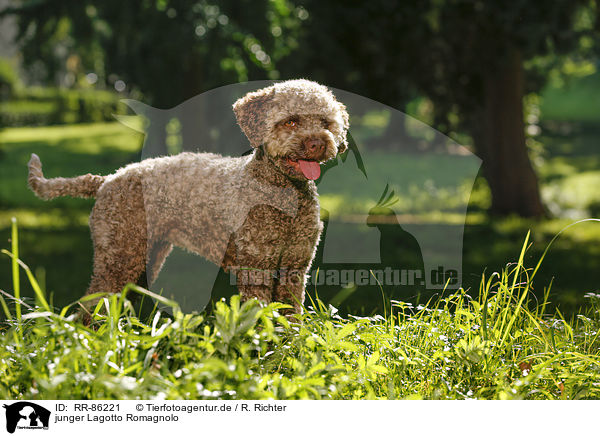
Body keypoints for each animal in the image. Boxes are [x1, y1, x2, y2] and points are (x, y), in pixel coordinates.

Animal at [27, 78, 346, 316]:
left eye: (325, 122)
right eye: (290, 122)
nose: (317, 143)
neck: (283, 195)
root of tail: (107, 179)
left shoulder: (295, 267)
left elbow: (290, 316)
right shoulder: (256, 266)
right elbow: (261, 315)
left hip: (145, 257)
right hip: (118, 257)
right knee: (89, 309)